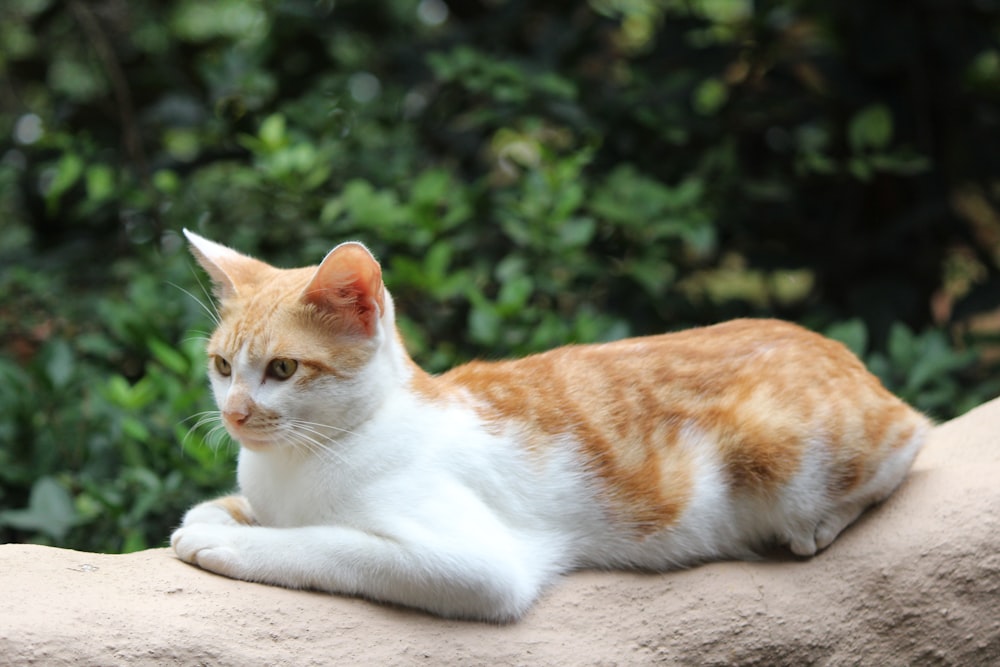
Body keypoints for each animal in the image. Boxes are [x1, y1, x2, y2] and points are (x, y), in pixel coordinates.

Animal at [172, 232, 928, 624]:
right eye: (221, 366)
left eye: (282, 368)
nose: (235, 412)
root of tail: (844, 356)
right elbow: (221, 505)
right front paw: (220, 515)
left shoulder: (477, 564)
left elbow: (331, 545)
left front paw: (232, 542)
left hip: (784, 456)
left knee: (915, 436)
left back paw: (822, 522)